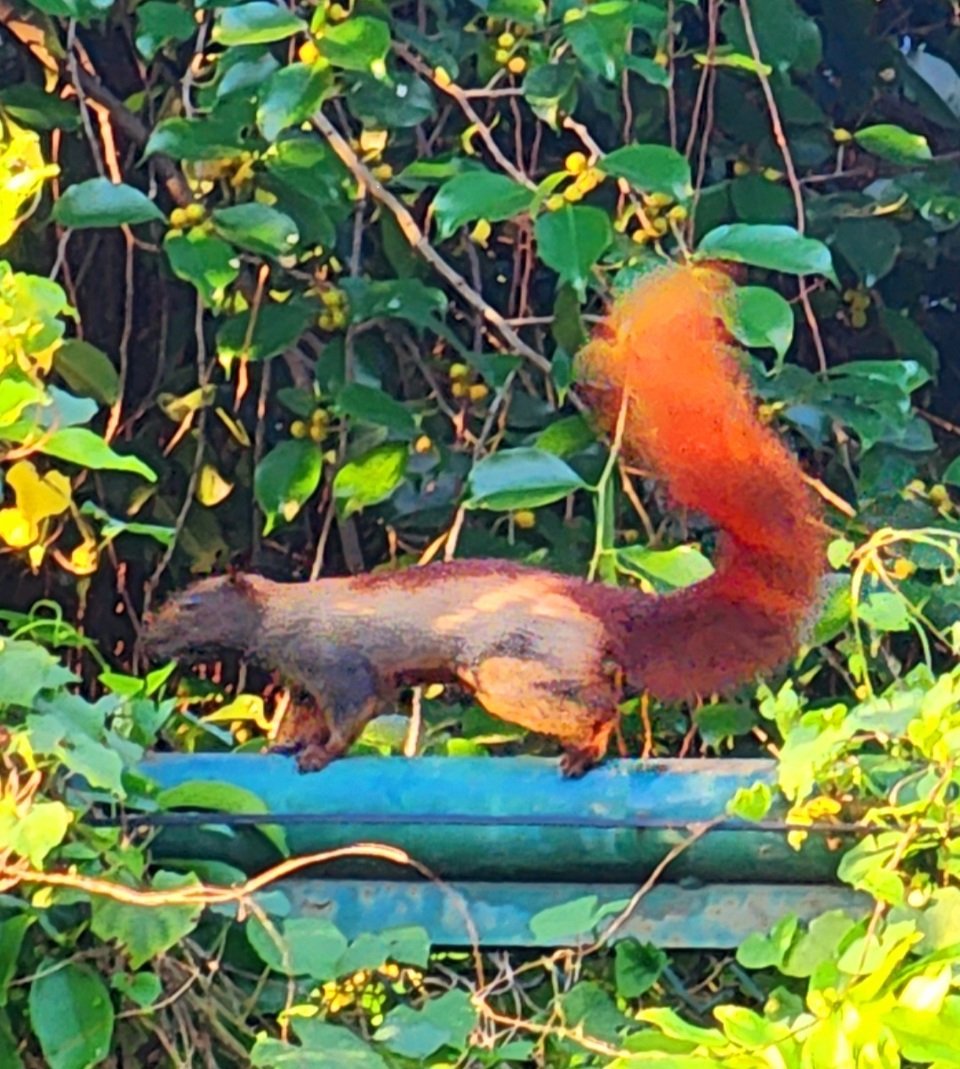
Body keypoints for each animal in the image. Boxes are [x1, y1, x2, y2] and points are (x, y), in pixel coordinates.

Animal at [142, 262, 821, 773]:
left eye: (191, 604)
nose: (149, 635)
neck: (281, 617)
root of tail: (604, 605)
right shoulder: (305, 680)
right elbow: (305, 716)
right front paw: (285, 745)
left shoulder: (337, 662)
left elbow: (357, 710)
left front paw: (318, 755)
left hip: (509, 667)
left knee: (599, 700)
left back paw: (585, 751)